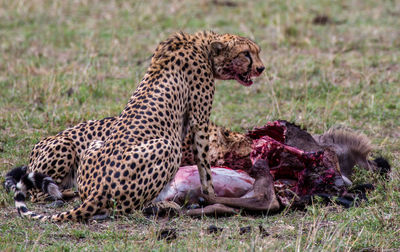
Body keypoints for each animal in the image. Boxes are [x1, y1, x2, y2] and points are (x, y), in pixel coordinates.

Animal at [9, 30, 264, 221]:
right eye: (245, 54)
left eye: (257, 52)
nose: (261, 68)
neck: (202, 45)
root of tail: (96, 191)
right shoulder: (199, 122)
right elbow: (205, 167)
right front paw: (211, 194)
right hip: (167, 147)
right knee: (124, 208)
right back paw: (164, 207)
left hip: (94, 144)